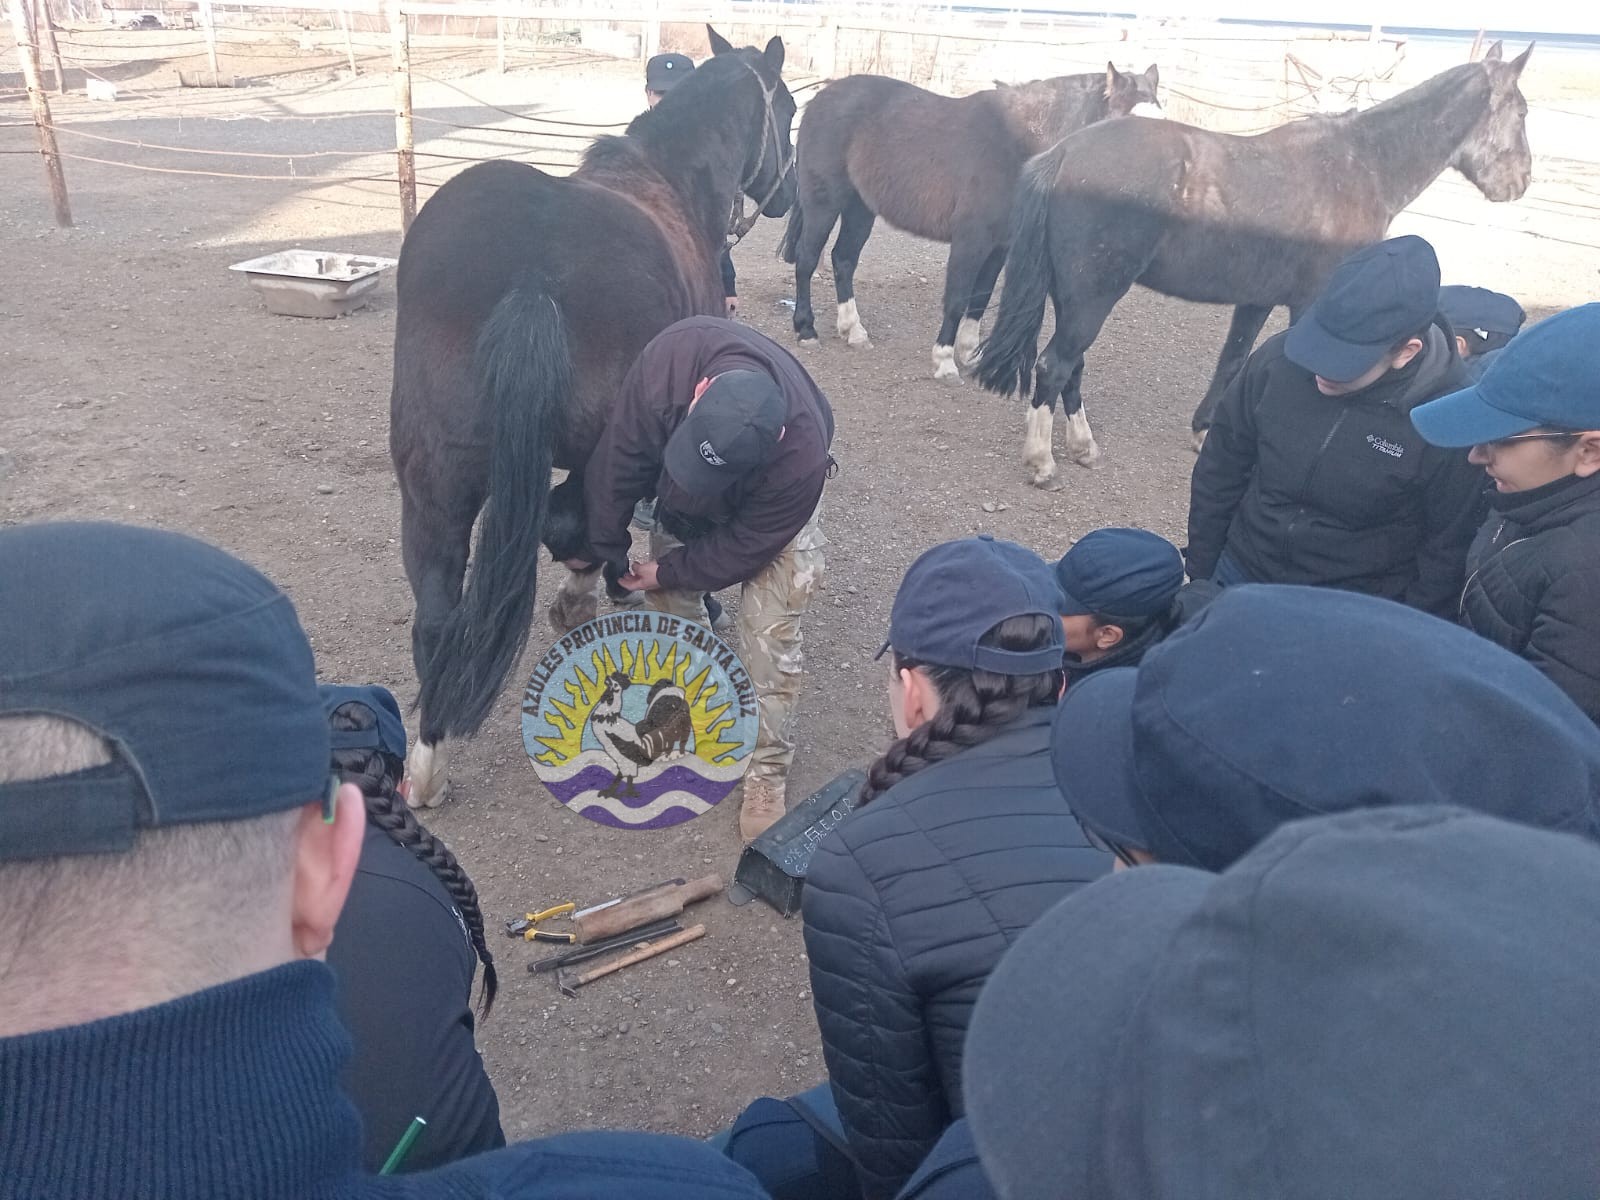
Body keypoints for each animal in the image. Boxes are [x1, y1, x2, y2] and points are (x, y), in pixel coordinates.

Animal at [382, 25, 793, 809]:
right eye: (786, 110)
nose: (787, 196)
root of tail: (533, 268)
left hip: (431, 482)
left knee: (438, 615)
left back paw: (427, 765)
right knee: (576, 520)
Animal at [774, 63, 1152, 380]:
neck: (1017, 142)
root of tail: (821, 97)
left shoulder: (1000, 246)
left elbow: (980, 299)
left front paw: (969, 355)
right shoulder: (972, 240)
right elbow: (957, 298)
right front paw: (944, 362)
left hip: (860, 208)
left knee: (843, 260)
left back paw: (853, 330)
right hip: (824, 204)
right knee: (808, 260)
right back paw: (806, 330)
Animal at [972, 45, 1536, 489]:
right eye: (1522, 110)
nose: (1520, 182)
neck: (1361, 164)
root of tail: (1066, 152)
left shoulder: (1258, 299)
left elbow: (1233, 360)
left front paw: (1204, 429)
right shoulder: (1313, 308)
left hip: (1076, 295)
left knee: (1072, 365)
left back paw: (1083, 447)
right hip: (1093, 295)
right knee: (1055, 364)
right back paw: (1042, 462)